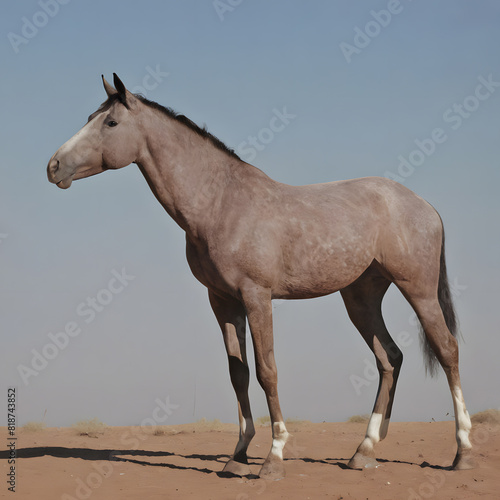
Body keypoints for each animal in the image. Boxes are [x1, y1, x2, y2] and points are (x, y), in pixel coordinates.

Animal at [46, 73, 472, 476]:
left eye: (111, 122)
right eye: (90, 117)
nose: (53, 167)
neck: (220, 204)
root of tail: (423, 205)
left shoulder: (257, 296)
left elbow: (268, 371)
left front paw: (274, 457)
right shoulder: (222, 301)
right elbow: (239, 372)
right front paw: (237, 456)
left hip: (418, 290)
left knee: (447, 350)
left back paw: (462, 451)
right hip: (361, 298)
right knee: (390, 358)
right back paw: (364, 451)